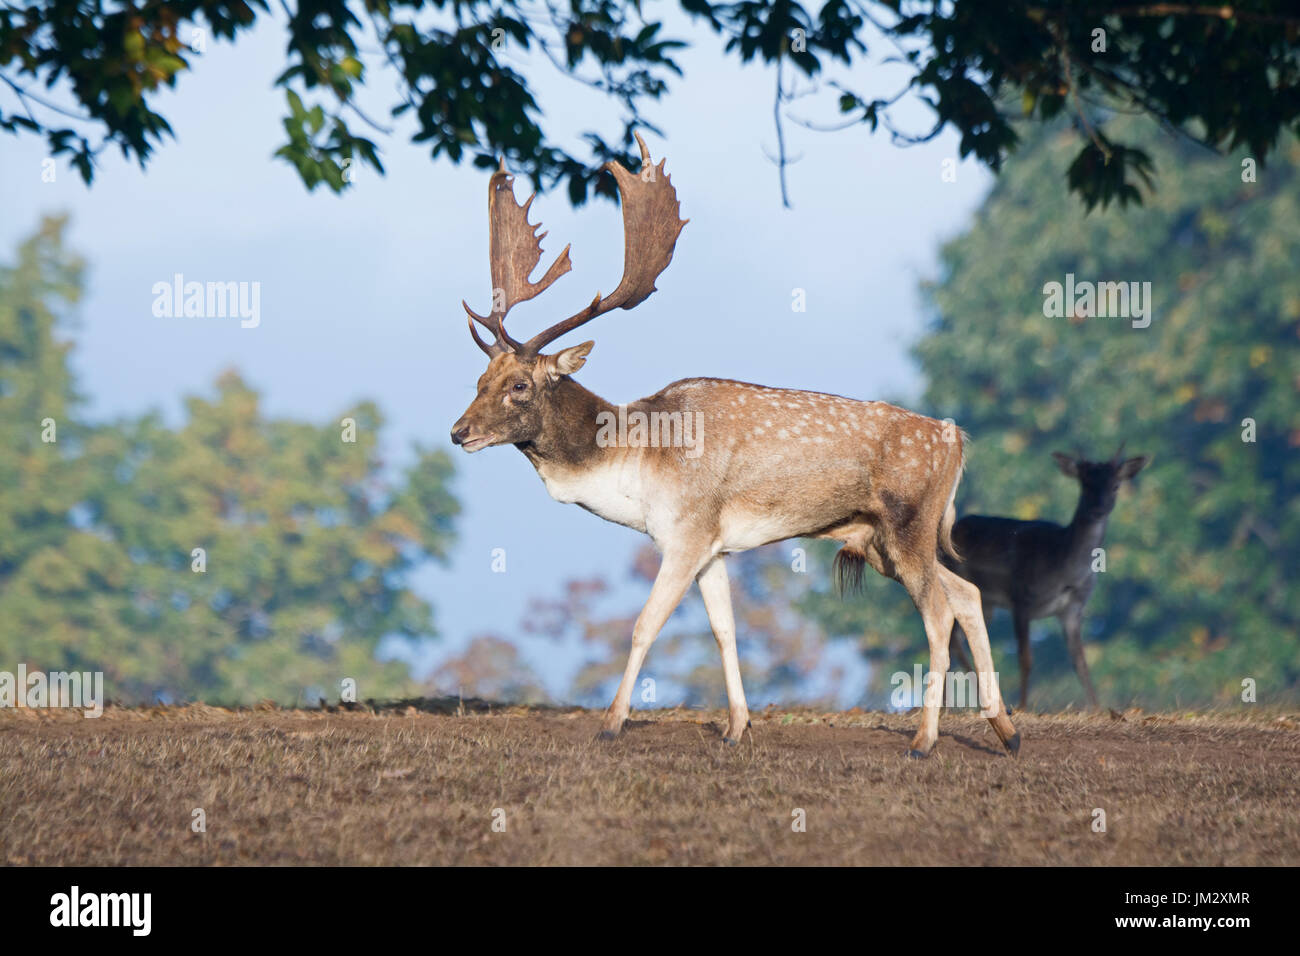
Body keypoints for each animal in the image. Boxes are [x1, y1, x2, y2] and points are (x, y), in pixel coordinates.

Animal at [452, 136, 1019, 764]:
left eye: (519, 385)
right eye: (479, 378)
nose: (458, 432)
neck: (635, 464)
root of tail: (956, 439)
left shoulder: (686, 531)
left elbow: (644, 624)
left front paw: (611, 724)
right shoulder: (713, 547)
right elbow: (725, 630)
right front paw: (736, 726)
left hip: (908, 523)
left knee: (939, 611)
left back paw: (924, 740)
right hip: (879, 541)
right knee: (967, 593)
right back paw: (1007, 731)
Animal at [946, 447, 1149, 712]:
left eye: (1115, 485)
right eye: (1085, 484)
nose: (1098, 510)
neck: (1063, 569)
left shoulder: (1072, 609)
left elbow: (1080, 661)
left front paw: (1097, 707)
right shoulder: (1021, 598)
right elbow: (1026, 658)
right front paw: (1023, 705)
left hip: (986, 604)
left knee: (957, 638)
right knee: (952, 639)